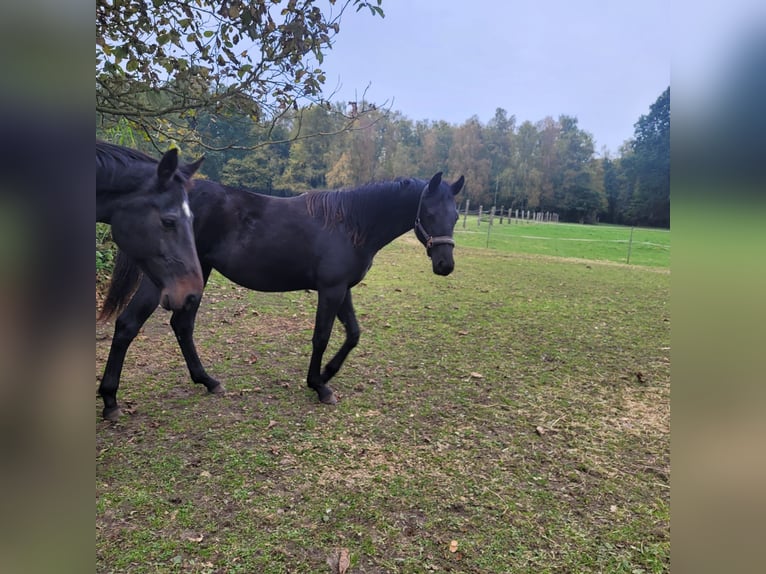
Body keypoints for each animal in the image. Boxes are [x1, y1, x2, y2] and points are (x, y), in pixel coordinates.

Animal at [99, 173, 464, 420]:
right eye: (429, 213)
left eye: (456, 216)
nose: (445, 265)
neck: (348, 224)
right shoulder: (331, 289)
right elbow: (322, 336)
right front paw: (319, 385)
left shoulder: (342, 289)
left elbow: (353, 334)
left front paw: (327, 373)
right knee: (129, 325)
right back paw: (110, 401)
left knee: (181, 325)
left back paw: (207, 381)